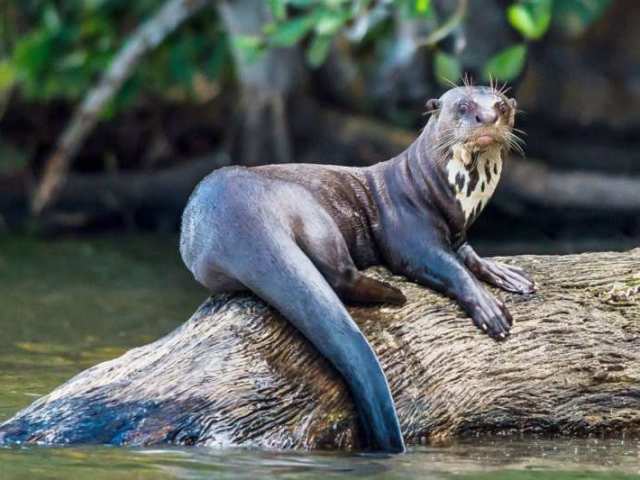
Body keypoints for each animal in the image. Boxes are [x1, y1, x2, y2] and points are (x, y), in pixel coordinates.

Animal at [180, 85, 536, 454]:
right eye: (464, 106)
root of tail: (239, 215)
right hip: (310, 211)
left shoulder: (458, 232)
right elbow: (447, 267)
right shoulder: (409, 234)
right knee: (339, 275)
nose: (487, 117)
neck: (438, 191)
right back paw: (394, 294)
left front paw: (507, 274)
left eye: (501, 105)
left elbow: (469, 254)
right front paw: (489, 309)